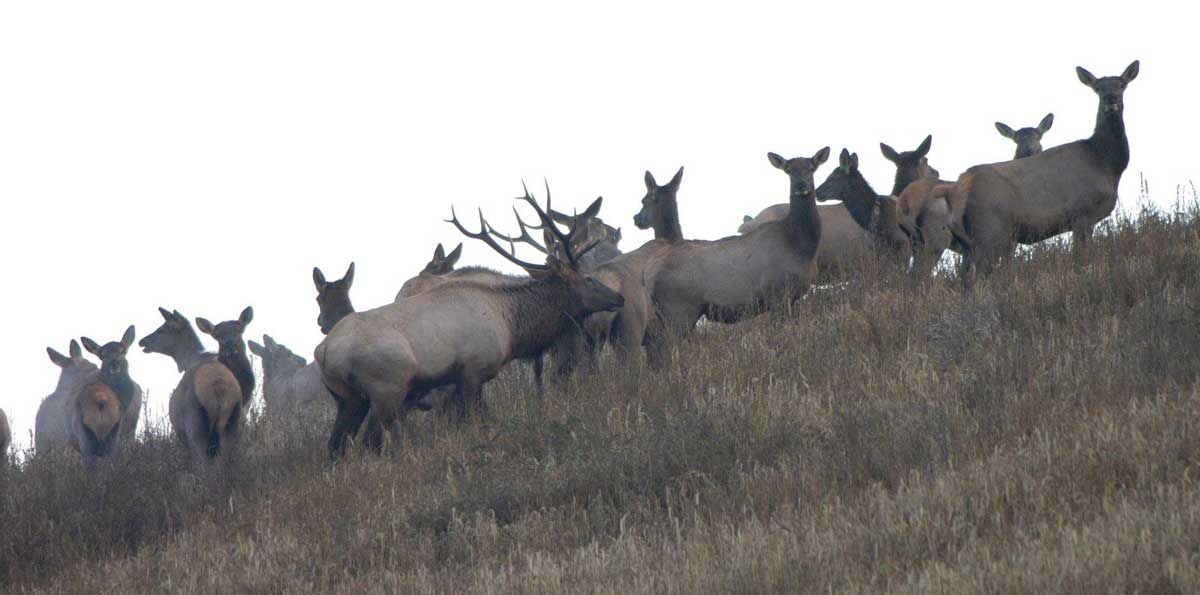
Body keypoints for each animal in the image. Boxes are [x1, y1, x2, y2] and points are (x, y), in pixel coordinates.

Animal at [140, 307, 249, 463]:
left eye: (162, 329)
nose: (142, 341)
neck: (190, 360)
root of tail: (219, 389)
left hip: (195, 426)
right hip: (233, 423)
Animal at [315, 187, 625, 455]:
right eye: (588, 278)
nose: (619, 297)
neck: (512, 326)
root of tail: (324, 351)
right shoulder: (472, 370)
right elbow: (476, 420)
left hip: (346, 398)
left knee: (335, 447)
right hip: (385, 388)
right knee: (371, 441)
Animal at [648, 147, 829, 346]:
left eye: (811, 168)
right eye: (788, 170)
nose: (801, 185)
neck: (800, 247)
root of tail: (651, 276)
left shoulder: (795, 295)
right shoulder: (776, 292)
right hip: (678, 309)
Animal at [947, 61, 1139, 286]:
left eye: (1122, 84)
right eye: (1098, 88)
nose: (1111, 98)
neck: (1106, 163)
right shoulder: (1082, 213)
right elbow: (1081, 261)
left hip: (971, 241)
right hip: (989, 230)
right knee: (973, 278)